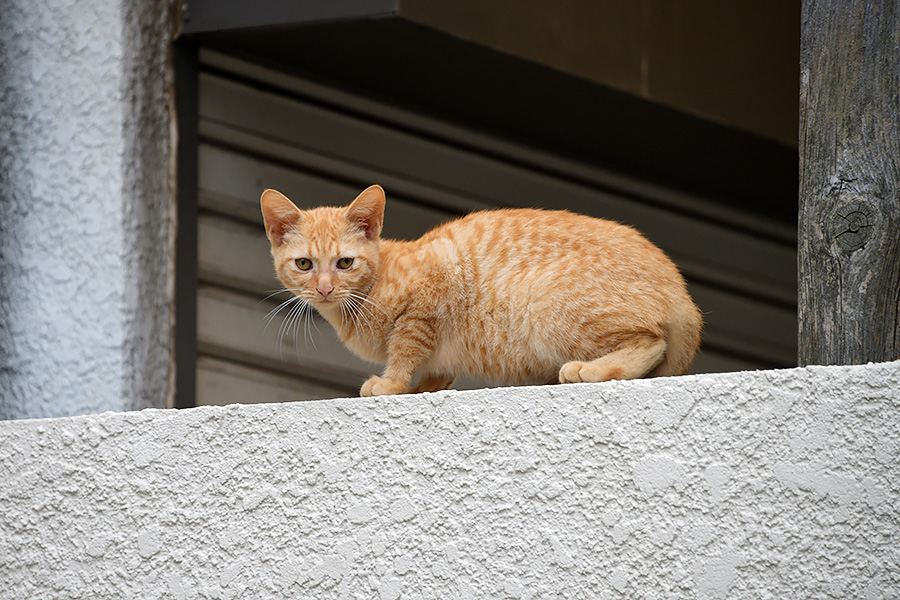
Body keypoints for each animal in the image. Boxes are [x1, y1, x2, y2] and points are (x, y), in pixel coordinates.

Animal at [260, 185, 704, 396]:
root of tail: (683, 295)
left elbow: (406, 350)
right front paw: (423, 388)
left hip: (548, 308)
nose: (324, 288)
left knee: (651, 343)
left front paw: (391, 385)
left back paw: (590, 370)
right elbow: (436, 370)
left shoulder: (428, 301)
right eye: (304, 264)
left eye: (344, 263)